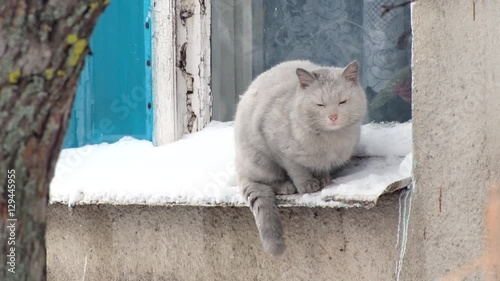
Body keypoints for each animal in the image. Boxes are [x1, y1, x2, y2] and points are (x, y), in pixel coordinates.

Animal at [234, 60, 368, 255]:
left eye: (342, 101)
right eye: (320, 104)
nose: (333, 116)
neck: (329, 139)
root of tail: (240, 169)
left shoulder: (323, 161)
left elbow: (321, 168)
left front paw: (323, 179)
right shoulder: (280, 148)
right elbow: (296, 169)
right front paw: (307, 185)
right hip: (259, 160)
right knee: (265, 181)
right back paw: (286, 186)